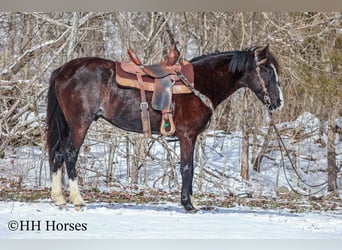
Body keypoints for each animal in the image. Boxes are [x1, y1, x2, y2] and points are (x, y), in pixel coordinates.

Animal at [47, 44, 284, 211]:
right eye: (267, 70)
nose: (278, 102)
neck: (197, 84)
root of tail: (64, 69)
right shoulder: (187, 135)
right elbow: (187, 168)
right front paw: (189, 205)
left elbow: (188, 167)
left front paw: (192, 202)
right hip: (80, 123)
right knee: (70, 154)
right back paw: (78, 199)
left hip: (68, 124)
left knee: (58, 154)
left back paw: (59, 199)